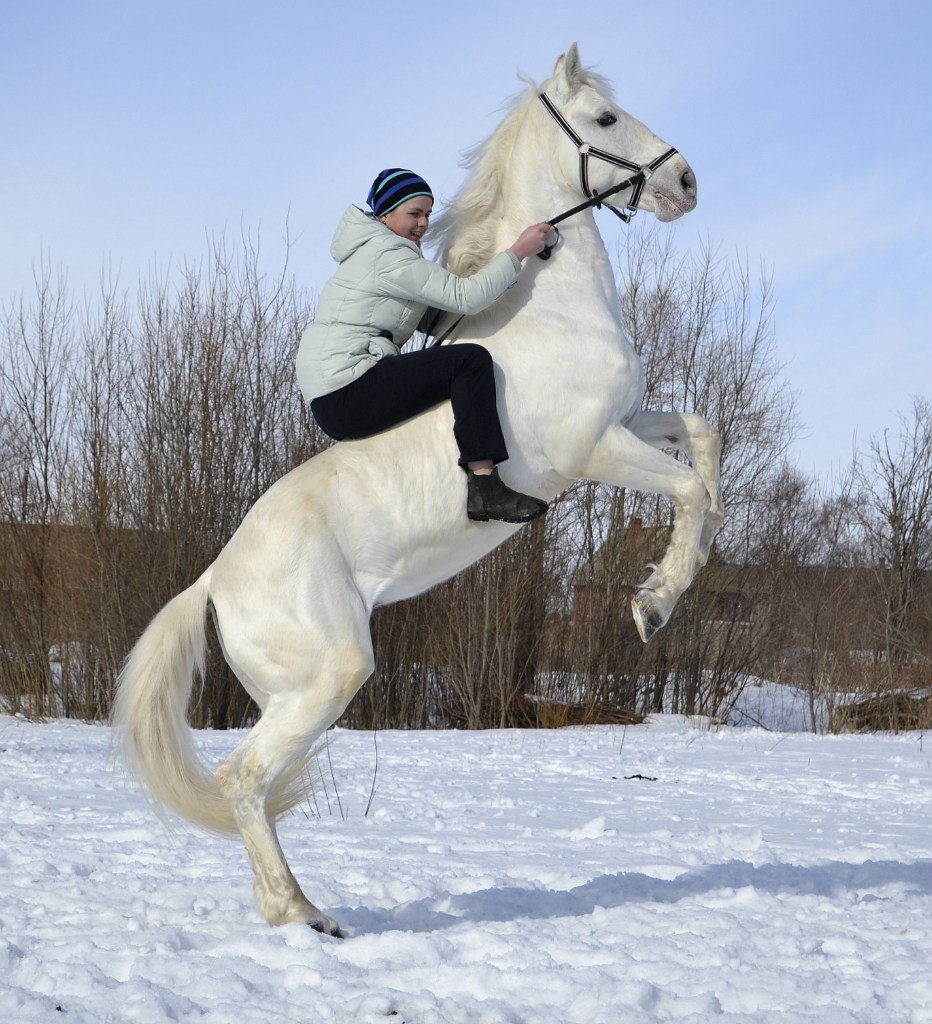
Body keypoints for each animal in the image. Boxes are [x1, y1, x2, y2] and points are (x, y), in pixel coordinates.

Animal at [112, 43, 723, 937]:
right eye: (606, 118)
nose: (686, 182)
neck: (548, 309)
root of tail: (214, 581)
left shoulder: (630, 422)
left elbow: (703, 442)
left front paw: (681, 577)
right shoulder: (596, 449)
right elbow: (687, 492)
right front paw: (655, 605)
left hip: (292, 691)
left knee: (251, 782)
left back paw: (295, 908)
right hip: (331, 673)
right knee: (243, 778)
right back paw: (304, 915)